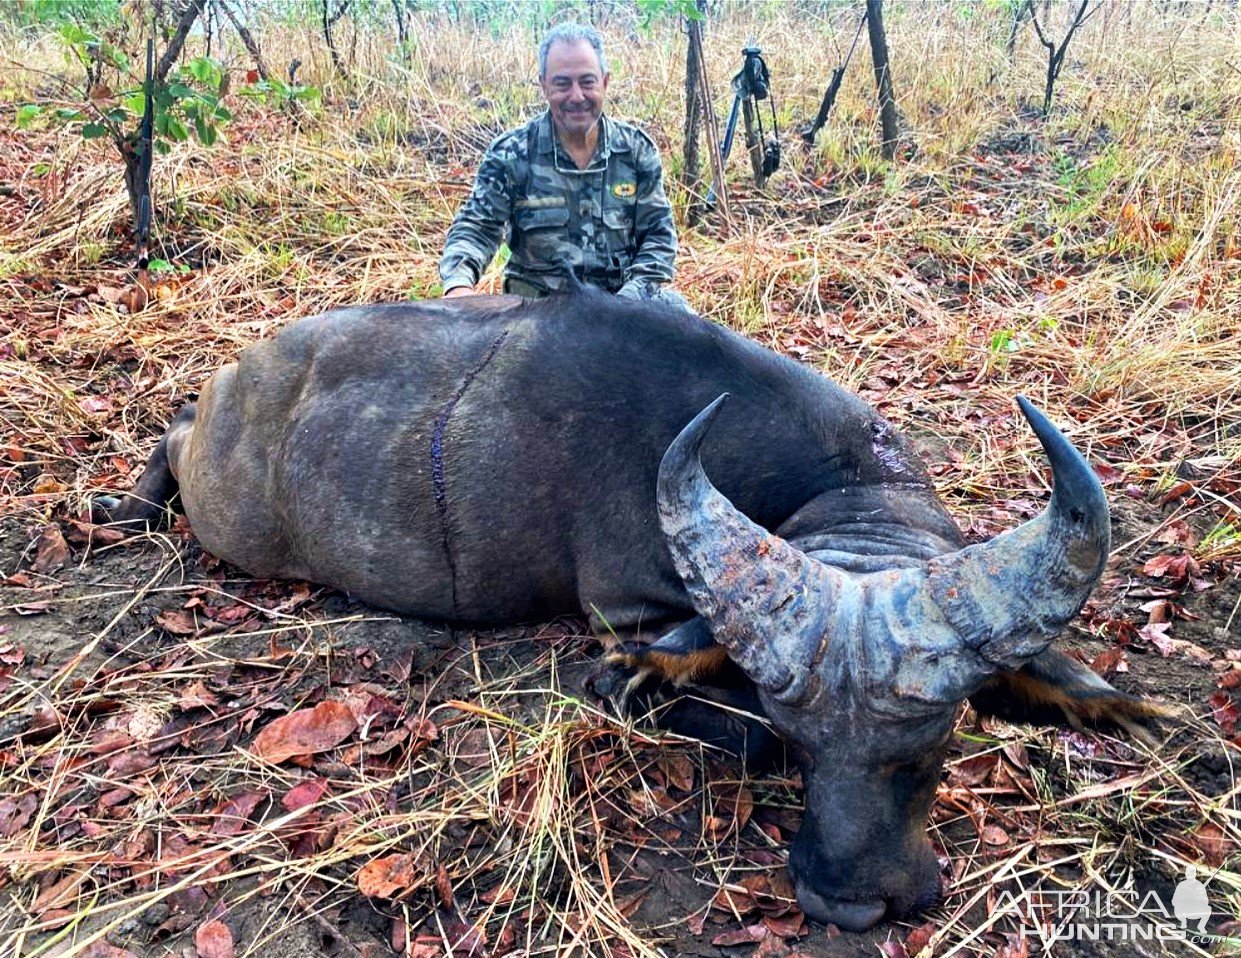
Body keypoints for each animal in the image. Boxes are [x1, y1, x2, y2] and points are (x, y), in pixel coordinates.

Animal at [104, 290, 1161, 928]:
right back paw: (124, 503)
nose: (848, 907)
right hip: (224, 510)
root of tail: (236, 378)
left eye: (934, 746)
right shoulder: (627, 615)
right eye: (802, 742)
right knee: (170, 436)